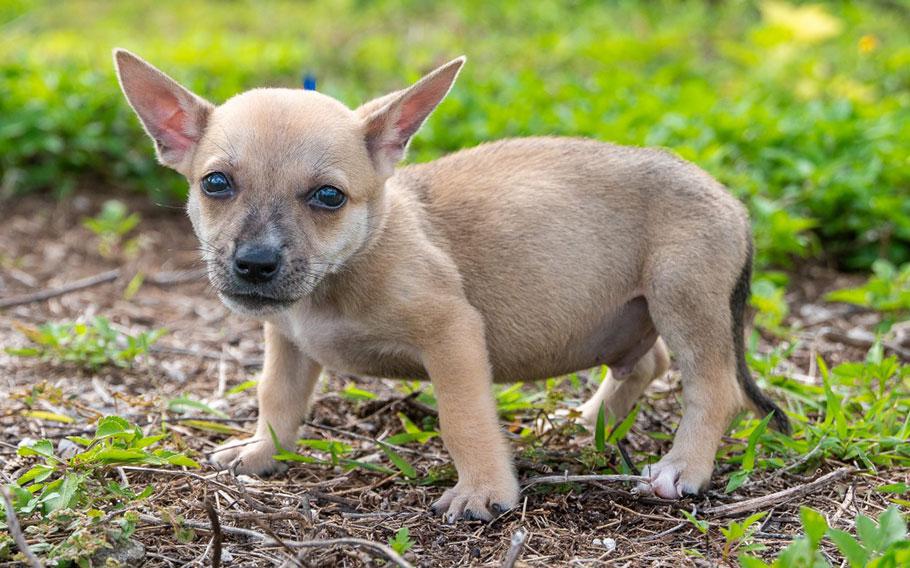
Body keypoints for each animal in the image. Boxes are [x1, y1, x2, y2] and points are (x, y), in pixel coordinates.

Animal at [116, 51, 792, 520]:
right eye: (216, 184)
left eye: (328, 197)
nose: (254, 264)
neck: (344, 269)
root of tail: (733, 202)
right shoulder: (287, 343)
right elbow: (276, 399)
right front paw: (262, 452)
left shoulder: (453, 333)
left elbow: (463, 420)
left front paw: (484, 491)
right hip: (635, 315)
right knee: (646, 362)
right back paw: (587, 420)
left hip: (682, 297)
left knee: (714, 386)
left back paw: (682, 467)